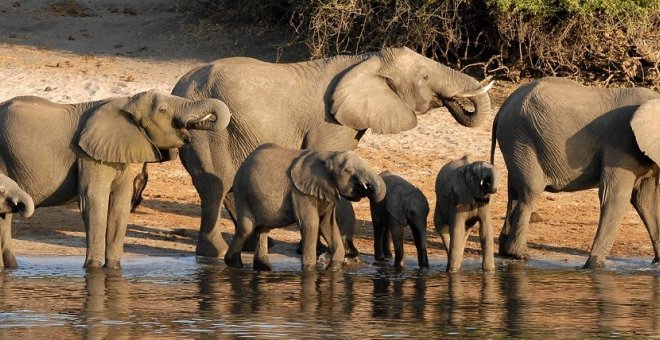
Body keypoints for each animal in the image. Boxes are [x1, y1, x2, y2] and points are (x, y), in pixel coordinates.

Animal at [0, 89, 231, 270]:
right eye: (163, 111)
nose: (197, 126)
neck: (127, 101)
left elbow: (120, 205)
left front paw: (113, 269)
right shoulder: (88, 156)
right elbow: (93, 201)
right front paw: (92, 270)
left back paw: (12, 268)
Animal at [224, 143, 386, 270]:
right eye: (347, 170)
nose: (367, 187)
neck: (329, 156)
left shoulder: (327, 191)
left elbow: (328, 225)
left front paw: (333, 268)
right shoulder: (300, 192)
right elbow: (311, 224)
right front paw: (309, 270)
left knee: (263, 229)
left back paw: (264, 268)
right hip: (242, 192)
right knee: (246, 229)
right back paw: (233, 264)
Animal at [492, 77, 660, 268]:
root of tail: (503, 106)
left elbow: (646, 200)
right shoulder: (621, 143)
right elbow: (615, 196)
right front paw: (593, 267)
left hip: (515, 141)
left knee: (513, 193)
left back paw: (506, 253)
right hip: (521, 138)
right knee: (530, 192)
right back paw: (520, 255)